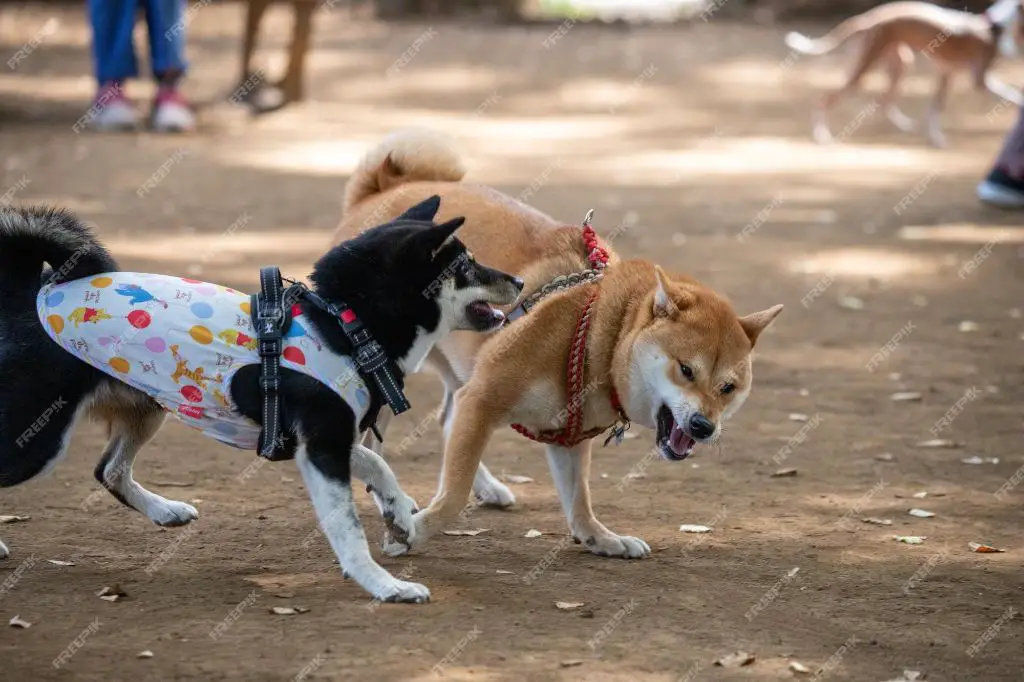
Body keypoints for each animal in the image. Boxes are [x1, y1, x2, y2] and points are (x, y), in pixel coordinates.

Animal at [0, 195, 524, 602]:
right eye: (465, 265)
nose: (519, 282)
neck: (345, 325)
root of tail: (30, 295)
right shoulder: (324, 446)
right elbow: (348, 528)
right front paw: (384, 585)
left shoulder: (319, 441)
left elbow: (379, 465)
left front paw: (398, 515)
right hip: (36, 440)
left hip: (144, 410)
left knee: (108, 470)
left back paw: (165, 511)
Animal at [331, 127, 778, 557]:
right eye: (685, 370)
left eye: (728, 388)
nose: (704, 427)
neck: (597, 333)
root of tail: (387, 187)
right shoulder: (484, 398)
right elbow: (454, 495)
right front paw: (412, 534)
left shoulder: (566, 435)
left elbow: (579, 500)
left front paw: (600, 538)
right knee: (375, 438)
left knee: (445, 420)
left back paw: (486, 488)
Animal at [782, 0, 1024, 147]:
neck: (997, 25)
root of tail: (869, 17)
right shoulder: (980, 80)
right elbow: (1013, 95)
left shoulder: (947, 75)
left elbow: (935, 109)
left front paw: (935, 138)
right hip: (864, 70)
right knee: (825, 99)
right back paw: (821, 135)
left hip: (901, 65)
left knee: (883, 101)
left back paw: (905, 125)